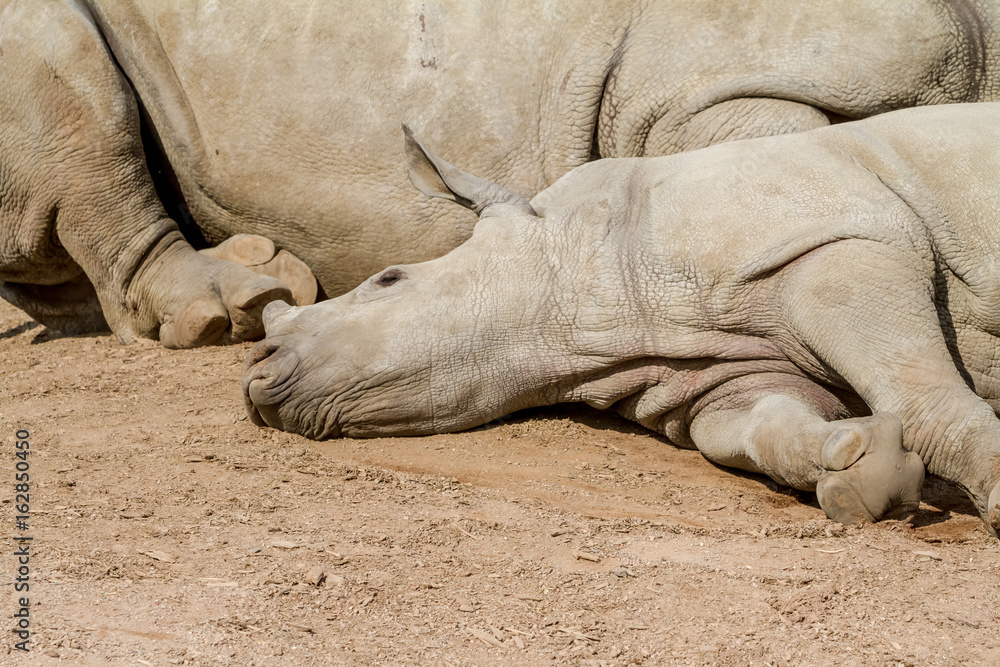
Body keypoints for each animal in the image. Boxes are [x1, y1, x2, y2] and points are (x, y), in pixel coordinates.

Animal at [242, 103, 1000, 533]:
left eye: (387, 279)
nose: (255, 371)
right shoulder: (709, 375)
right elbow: (760, 429)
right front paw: (857, 471)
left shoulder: (838, 239)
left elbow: (922, 396)